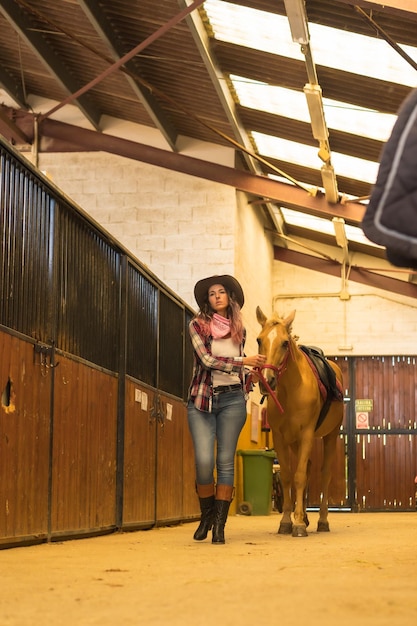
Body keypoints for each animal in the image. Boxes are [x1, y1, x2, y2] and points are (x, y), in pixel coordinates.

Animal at [255, 304, 342, 532]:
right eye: (259, 340)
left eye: (285, 343)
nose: (267, 380)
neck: (291, 390)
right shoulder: (280, 438)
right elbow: (287, 476)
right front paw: (288, 520)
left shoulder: (307, 435)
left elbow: (300, 475)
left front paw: (300, 526)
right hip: (294, 441)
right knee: (309, 466)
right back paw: (304, 515)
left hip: (331, 436)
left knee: (324, 474)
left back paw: (322, 521)